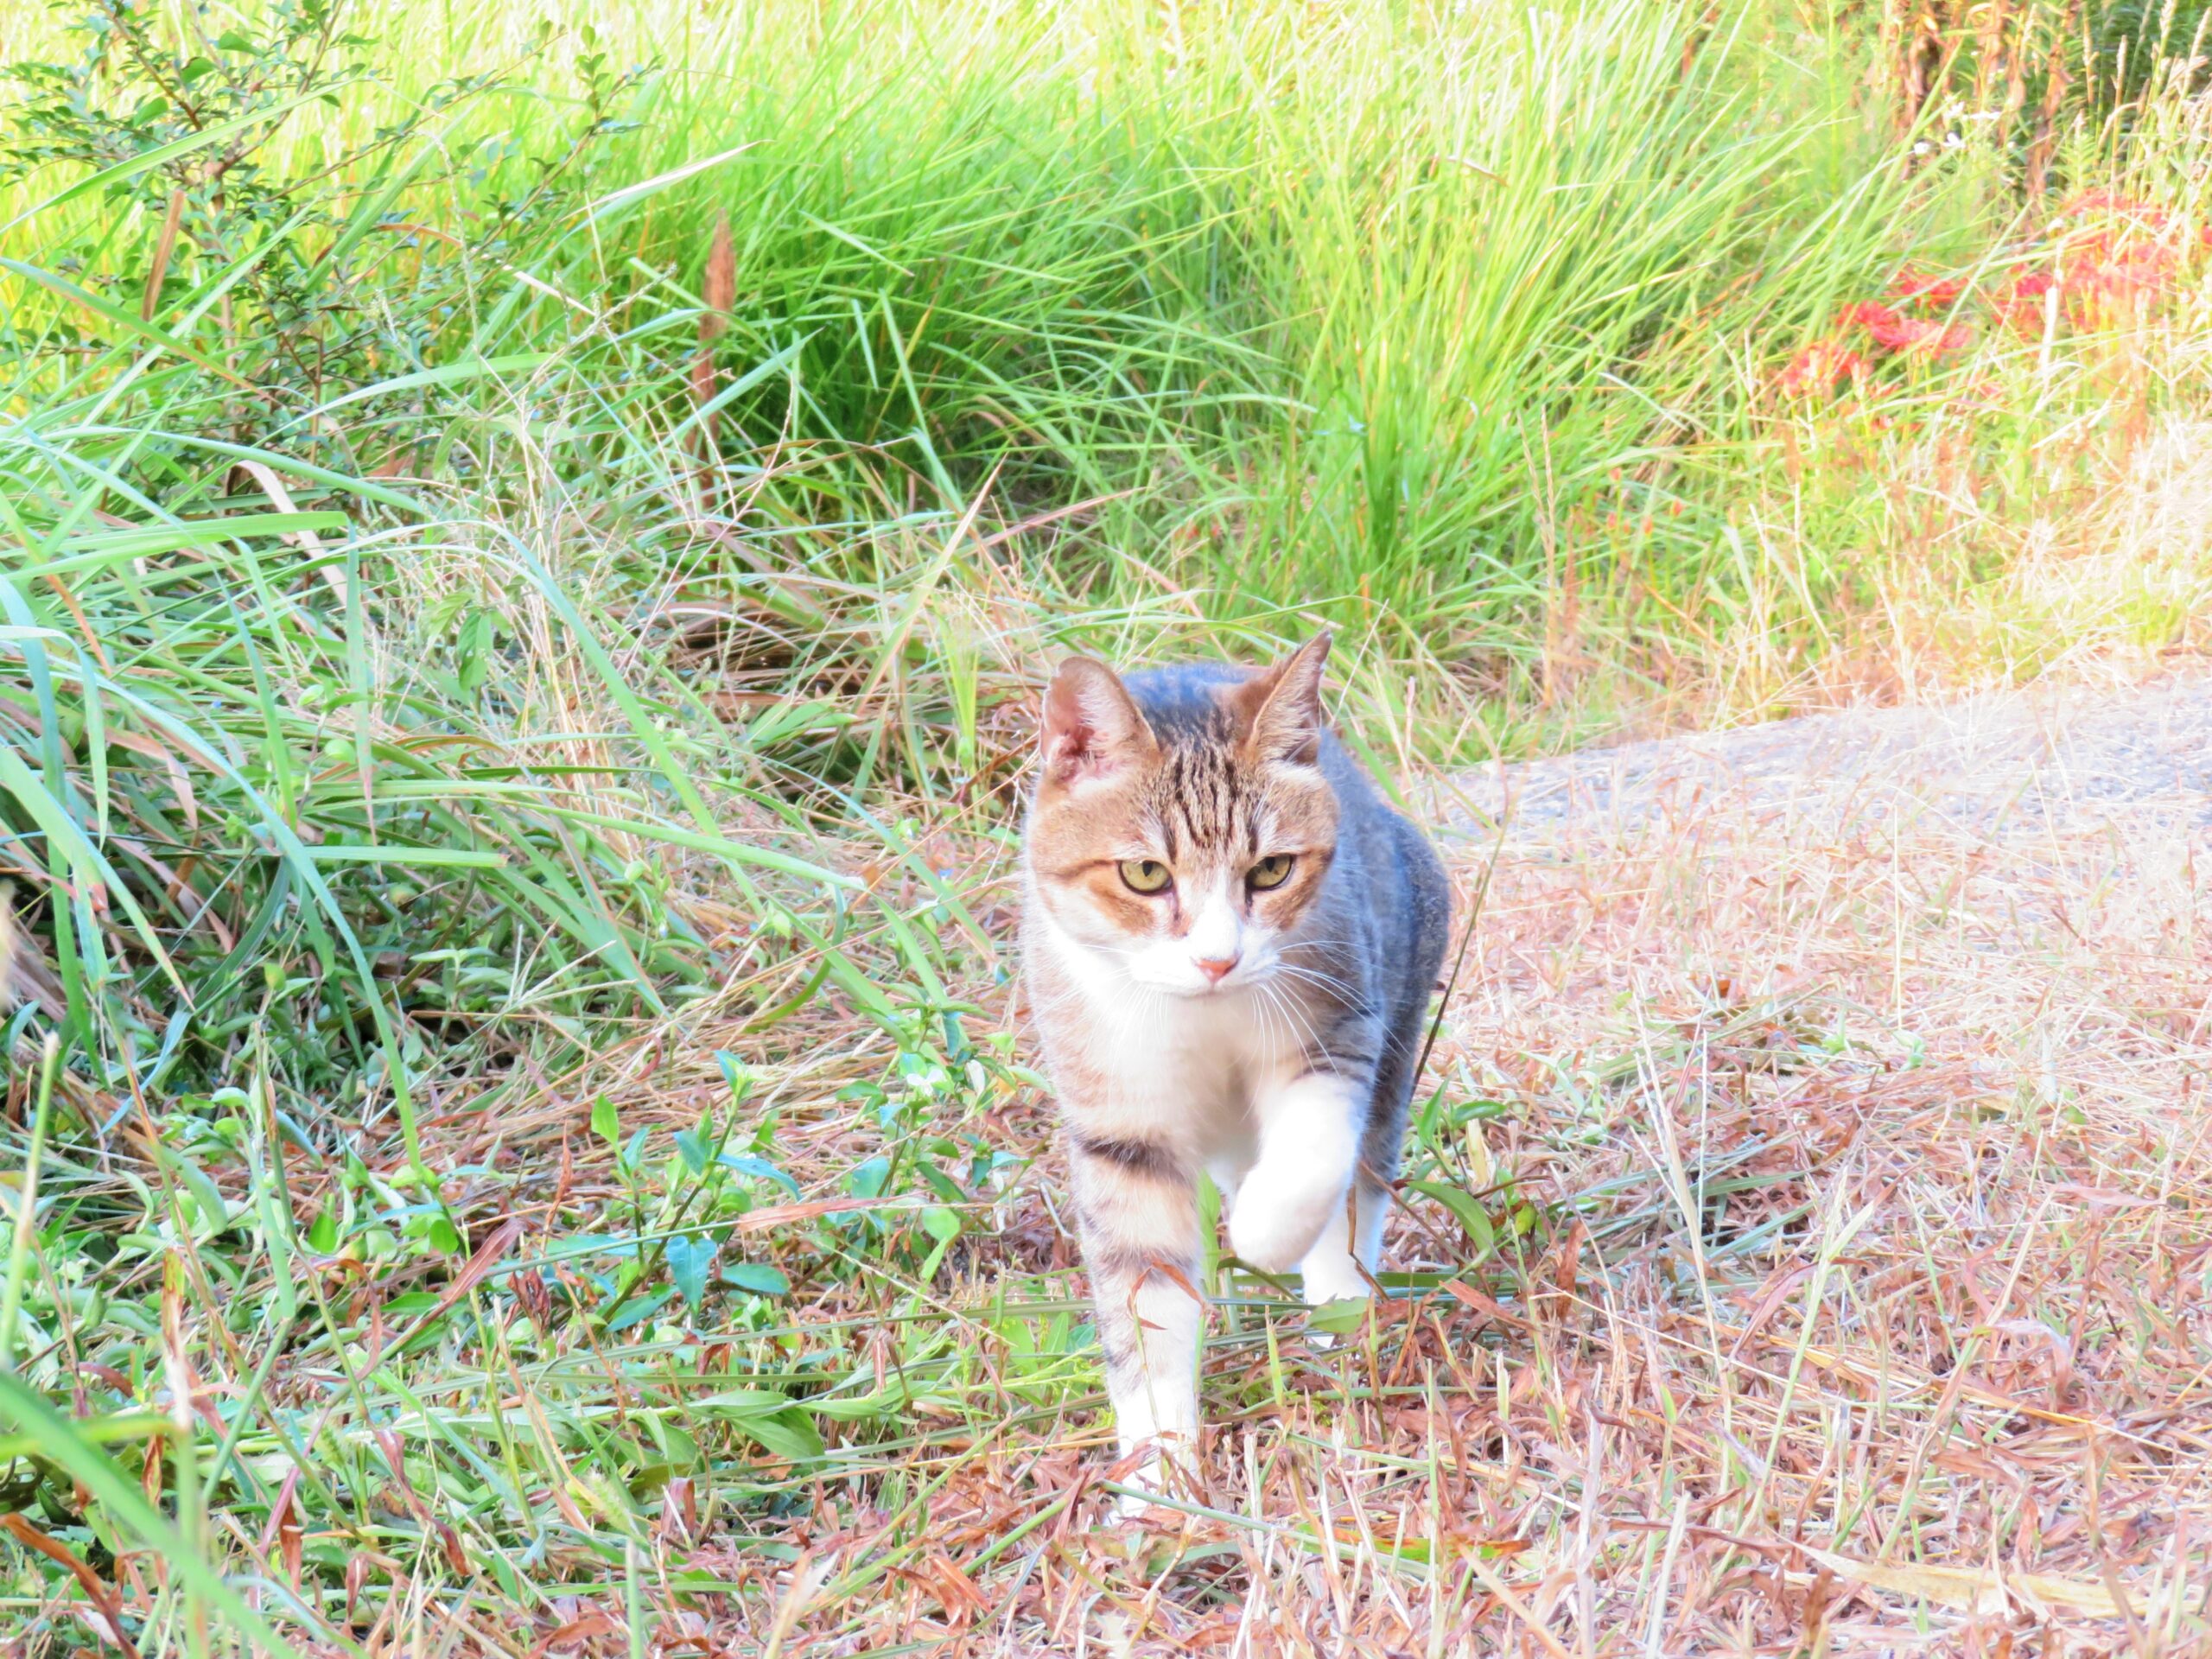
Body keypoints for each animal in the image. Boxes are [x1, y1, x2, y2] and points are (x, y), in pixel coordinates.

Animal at [1017, 637, 1451, 1522]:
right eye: (1146, 875)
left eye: (1273, 869)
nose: (1218, 961)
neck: (1201, 1019)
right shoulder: (1118, 1122)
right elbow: (1143, 1296)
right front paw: (1159, 1476)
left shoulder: (1340, 1018)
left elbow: (1313, 1159)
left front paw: (1264, 1237)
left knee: (1360, 1182)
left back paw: (1335, 1306)